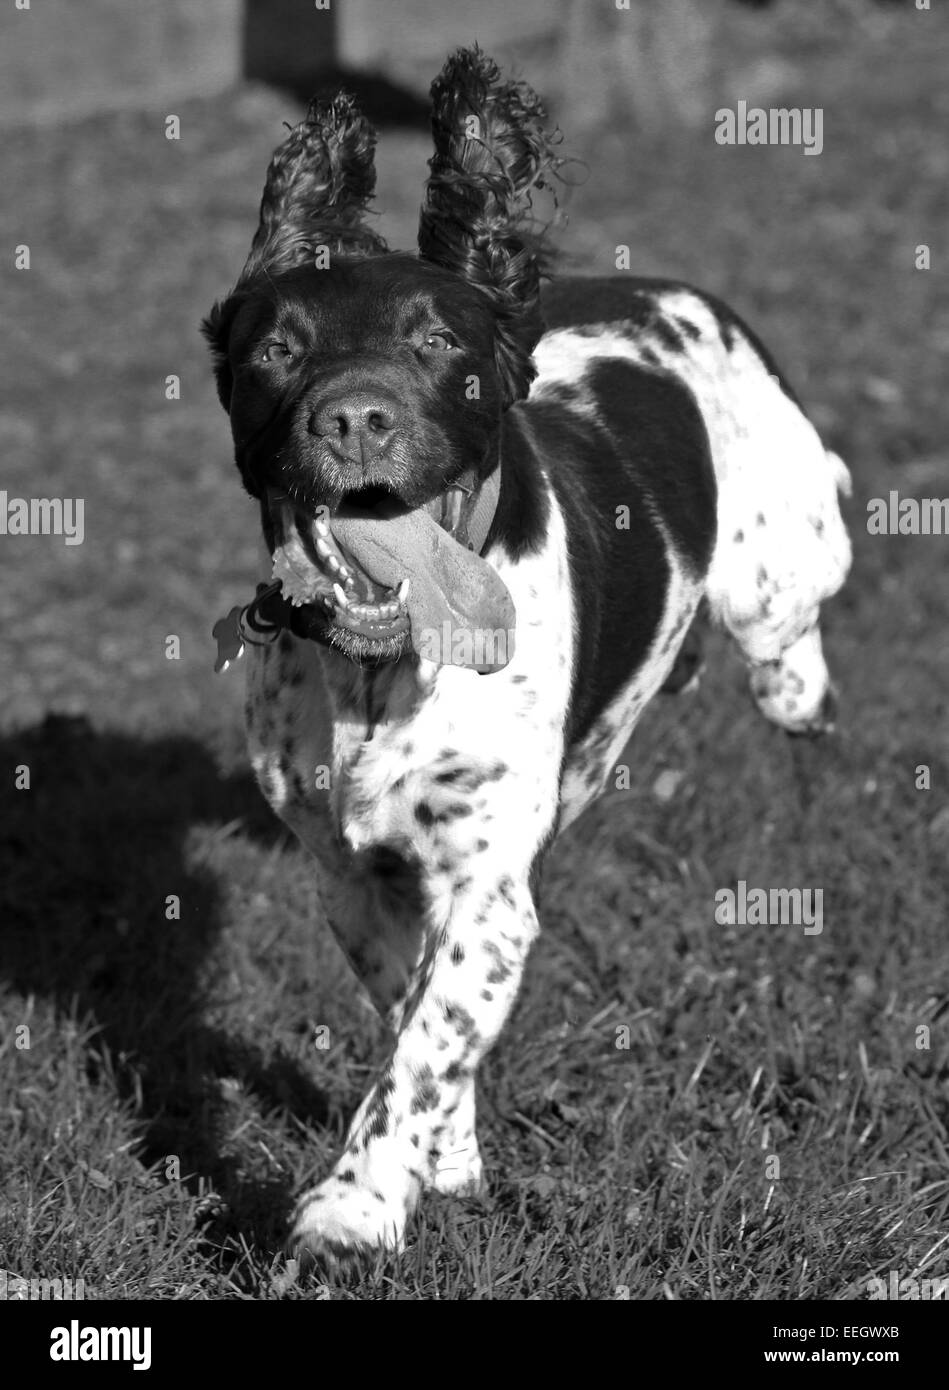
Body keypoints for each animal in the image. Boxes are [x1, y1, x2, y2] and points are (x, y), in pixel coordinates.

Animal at [202, 46, 855, 1262]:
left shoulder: (486, 882)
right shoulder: (350, 874)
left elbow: (418, 1045)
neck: (376, 670)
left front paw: (356, 1203)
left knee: (789, 628)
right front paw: (445, 1160)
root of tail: (660, 288)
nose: (353, 419)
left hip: (776, 569)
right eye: (276, 350)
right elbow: (414, 1013)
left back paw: (794, 678)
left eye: (435, 342)